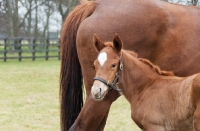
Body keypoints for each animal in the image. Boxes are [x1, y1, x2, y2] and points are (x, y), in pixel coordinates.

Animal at [60, 0, 200, 130]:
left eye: (113, 65)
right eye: (95, 65)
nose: (96, 90)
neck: (149, 85)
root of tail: (96, 5)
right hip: (101, 98)